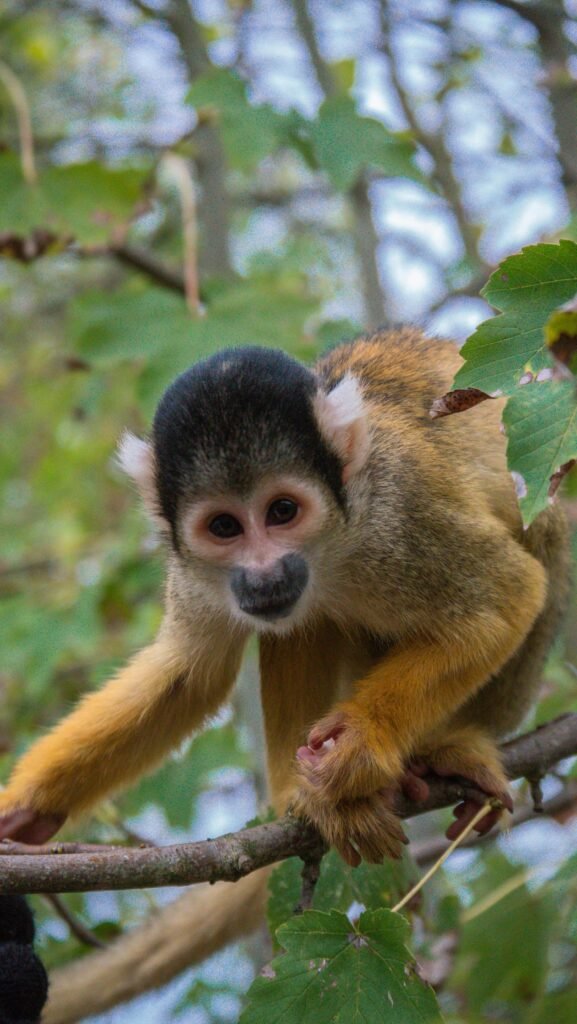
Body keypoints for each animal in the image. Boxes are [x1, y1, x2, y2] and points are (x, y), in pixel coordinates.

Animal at [0, 329, 569, 871]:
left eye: (282, 511)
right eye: (224, 526)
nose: (263, 574)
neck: (332, 548)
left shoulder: (401, 516)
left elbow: (509, 593)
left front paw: (364, 738)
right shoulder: (191, 572)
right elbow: (191, 677)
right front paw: (24, 805)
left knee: (543, 525)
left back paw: (446, 749)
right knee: (301, 622)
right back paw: (303, 796)